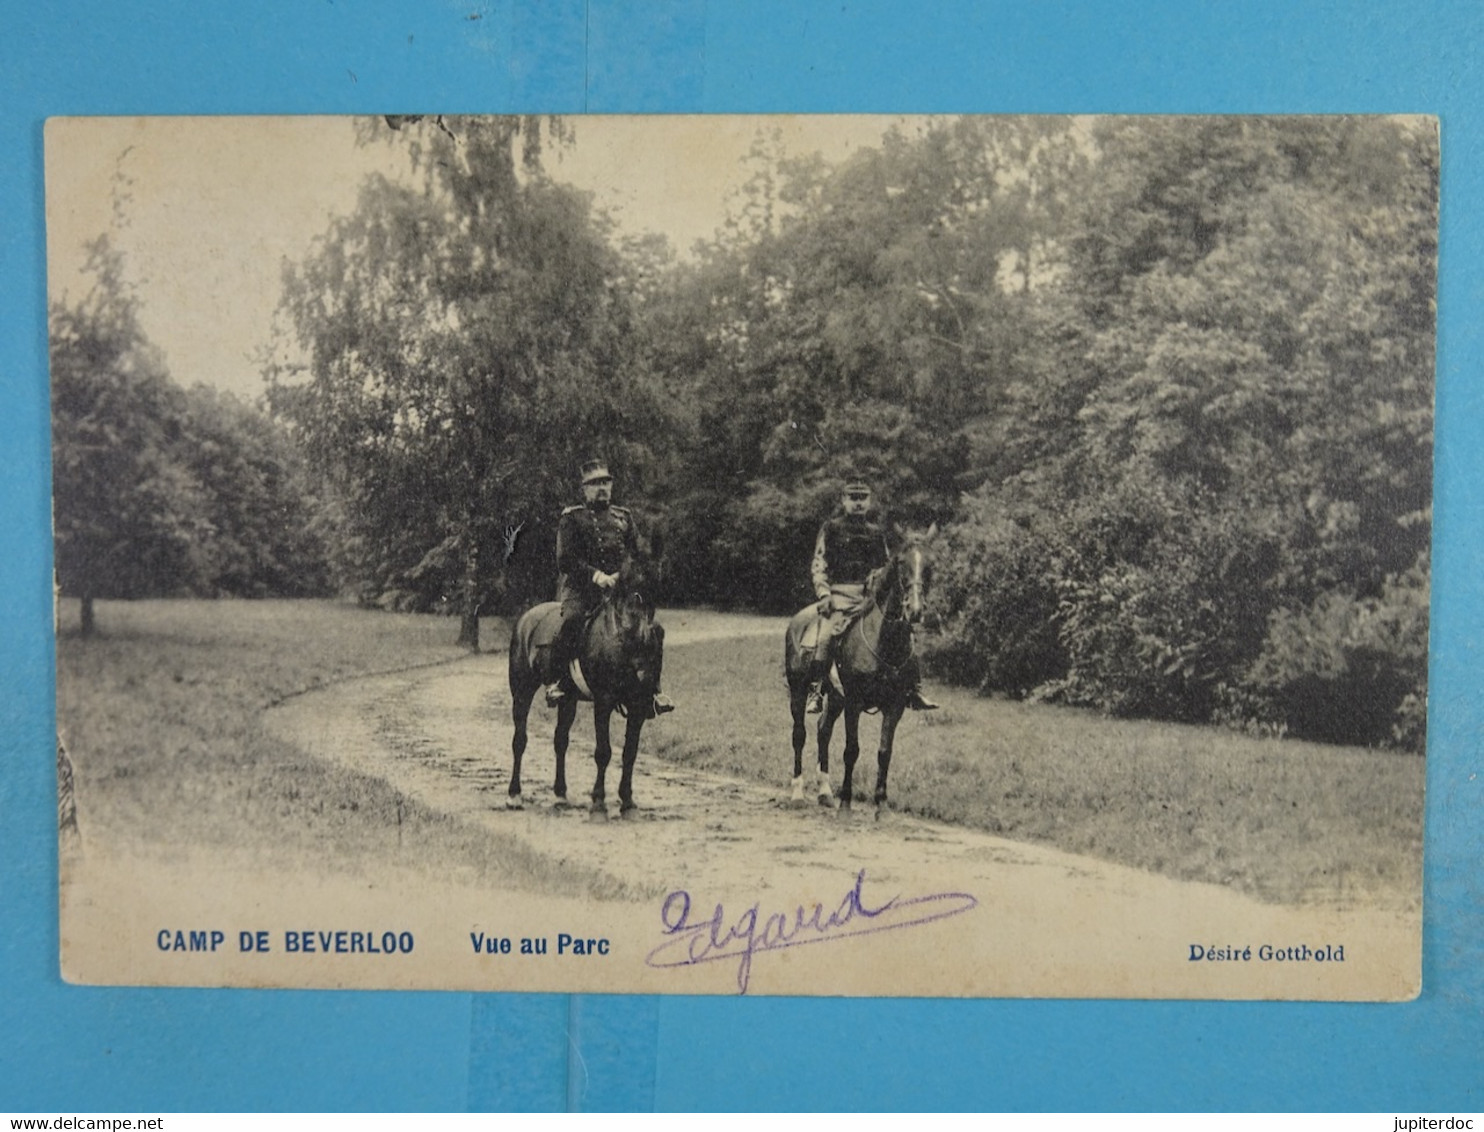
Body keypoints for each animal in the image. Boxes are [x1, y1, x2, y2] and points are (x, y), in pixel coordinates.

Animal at [507, 584, 664, 813]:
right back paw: (514, 794)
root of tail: (526, 618)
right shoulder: (603, 703)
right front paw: (598, 800)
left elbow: (630, 753)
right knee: (519, 740)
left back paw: (560, 794)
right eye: (636, 644)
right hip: (522, 692)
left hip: (568, 701)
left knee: (560, 741)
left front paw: (627, 800)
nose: (646, 686)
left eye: (658, 646)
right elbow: (603, 752)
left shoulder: (636, 710)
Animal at [783, 534, 931, 813]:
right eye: (901, 563)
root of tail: (797, 620)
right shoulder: (854, 702)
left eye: (927, 565)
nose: (914, 609)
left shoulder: (894, 706)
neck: (883, 642)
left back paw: (824, 792)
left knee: (823, 731)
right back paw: (797, 794)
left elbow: (884, 752)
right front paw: (846, 802)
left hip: (835, 698)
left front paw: (881, 805)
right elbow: (851, 750)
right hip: (798, 690)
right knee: (799, 734)